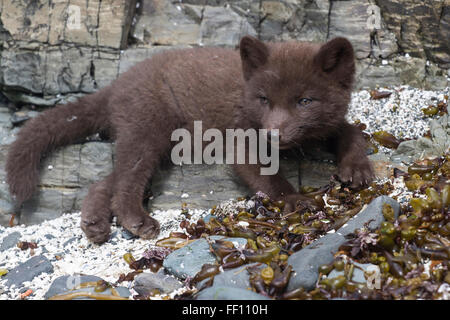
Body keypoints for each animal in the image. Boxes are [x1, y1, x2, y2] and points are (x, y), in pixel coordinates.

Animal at [5, 35, 374, 242]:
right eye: (264, 99)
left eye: (305, 101)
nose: (272, 133)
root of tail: (115, 86)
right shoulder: (242, 139)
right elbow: (268, 178)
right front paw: (296, 200)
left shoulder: (326, 124)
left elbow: (353, 130)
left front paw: (356, 168)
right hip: (148, 131)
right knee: (125, 185)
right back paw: (137, 221)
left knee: (106, 181)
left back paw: (94, 225)